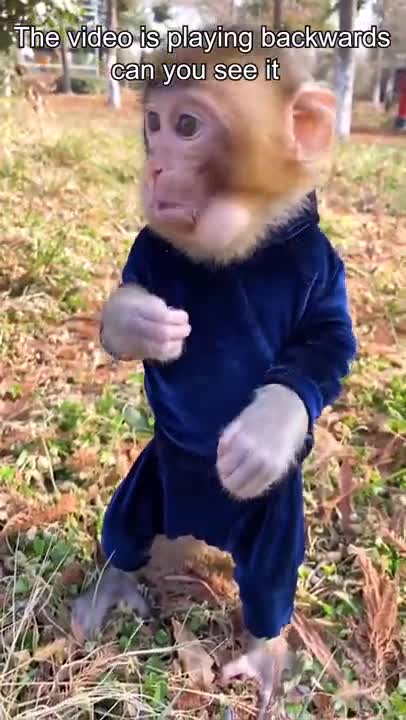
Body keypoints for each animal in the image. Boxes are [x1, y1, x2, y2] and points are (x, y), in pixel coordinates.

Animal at [71, 27, 357, 704]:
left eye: (187, 126)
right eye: (153, 124)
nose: (154, 164)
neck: (241, 248)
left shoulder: (321, 264)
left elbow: (328, 347)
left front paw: (265, 431)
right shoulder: (150, 246)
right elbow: (125, 305)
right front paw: (144, 323)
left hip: (271, 525)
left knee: (270, 576)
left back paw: (263, 649)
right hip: (152, 480)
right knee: (126, 527)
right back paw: (112, 585)